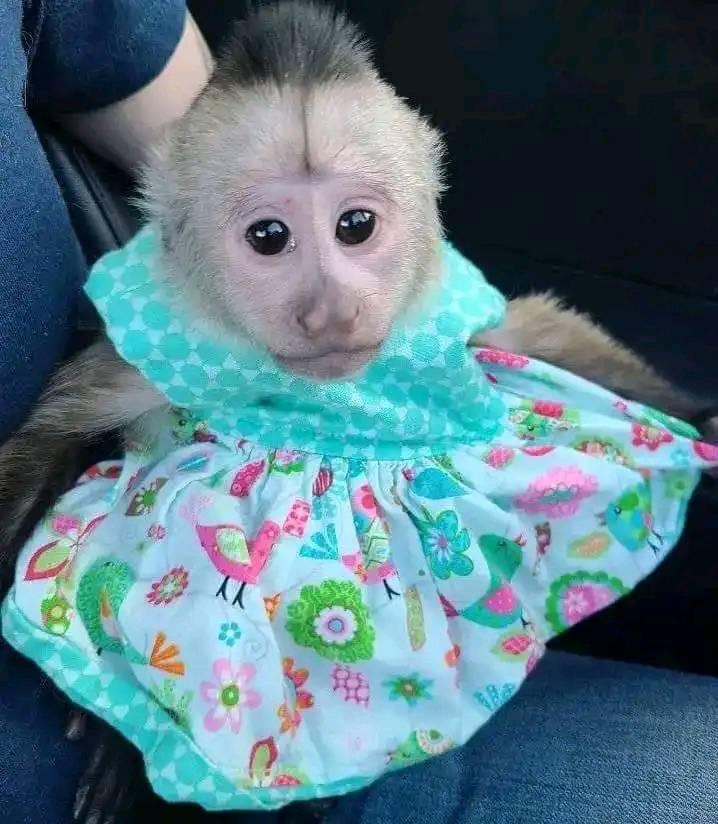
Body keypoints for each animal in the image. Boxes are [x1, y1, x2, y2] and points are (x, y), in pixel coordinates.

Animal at [0, 3, 715, 822]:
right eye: (269, 237)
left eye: (356, 225)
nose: (331, 310)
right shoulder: (134, 367)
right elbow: (53, 442)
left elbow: (536, 333)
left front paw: (701, 416)